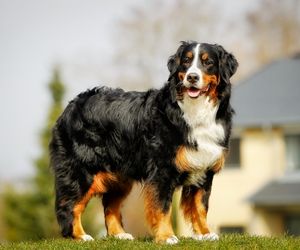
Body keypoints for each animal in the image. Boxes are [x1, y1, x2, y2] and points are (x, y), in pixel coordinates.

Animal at [50, 41, 239, 244]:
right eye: (186, 61)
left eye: (208, 62)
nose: (192, 77)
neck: (195, 111)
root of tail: (72, 104)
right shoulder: (162, 170)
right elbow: (163, 207)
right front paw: (166, 236)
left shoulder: (204, 168)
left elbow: (201, 206)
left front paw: (205, 234)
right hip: (83, 171)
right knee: (70, 205)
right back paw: (80, 235)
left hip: (120, 175)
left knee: (110, 204)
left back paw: (119, 235)